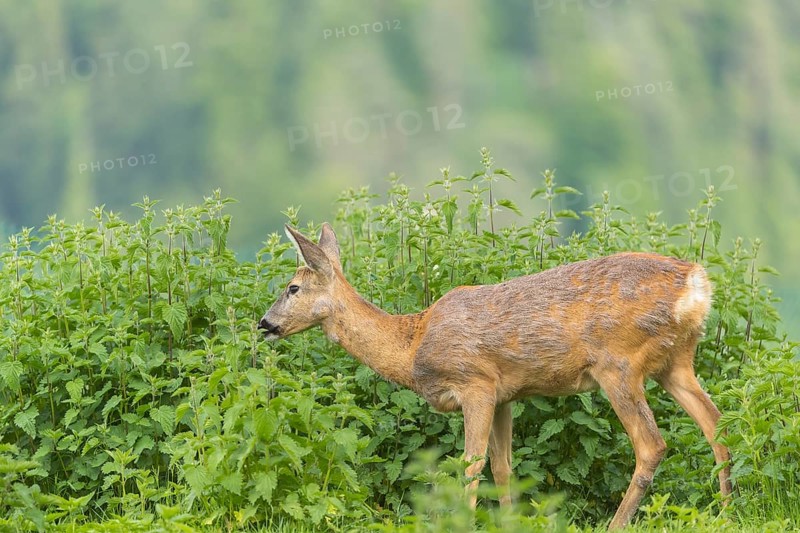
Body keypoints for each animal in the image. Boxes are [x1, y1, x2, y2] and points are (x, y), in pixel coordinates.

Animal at [259, 223, 732, 529]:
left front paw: (466, 521)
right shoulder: (507, 394)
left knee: (652, 444)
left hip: (619, 364)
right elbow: (505, 467)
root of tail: (697, 283)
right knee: (717, 425)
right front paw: (508, 519)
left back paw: (617, 524)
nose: (264, 324)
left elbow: (470, 465)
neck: (412, 346)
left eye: (292, 288)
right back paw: (728, 507)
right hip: (675, 362)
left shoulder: (476, 383)